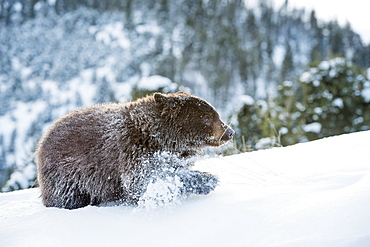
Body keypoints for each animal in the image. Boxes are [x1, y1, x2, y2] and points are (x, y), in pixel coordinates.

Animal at [36, 91, 234, 209]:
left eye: (216, 114)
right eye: (207, 117)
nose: (229, 131)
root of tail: (42, 140)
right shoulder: (132, 149)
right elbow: (142, 180)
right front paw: (207, 180)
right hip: (66, 176)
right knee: (67, 197)